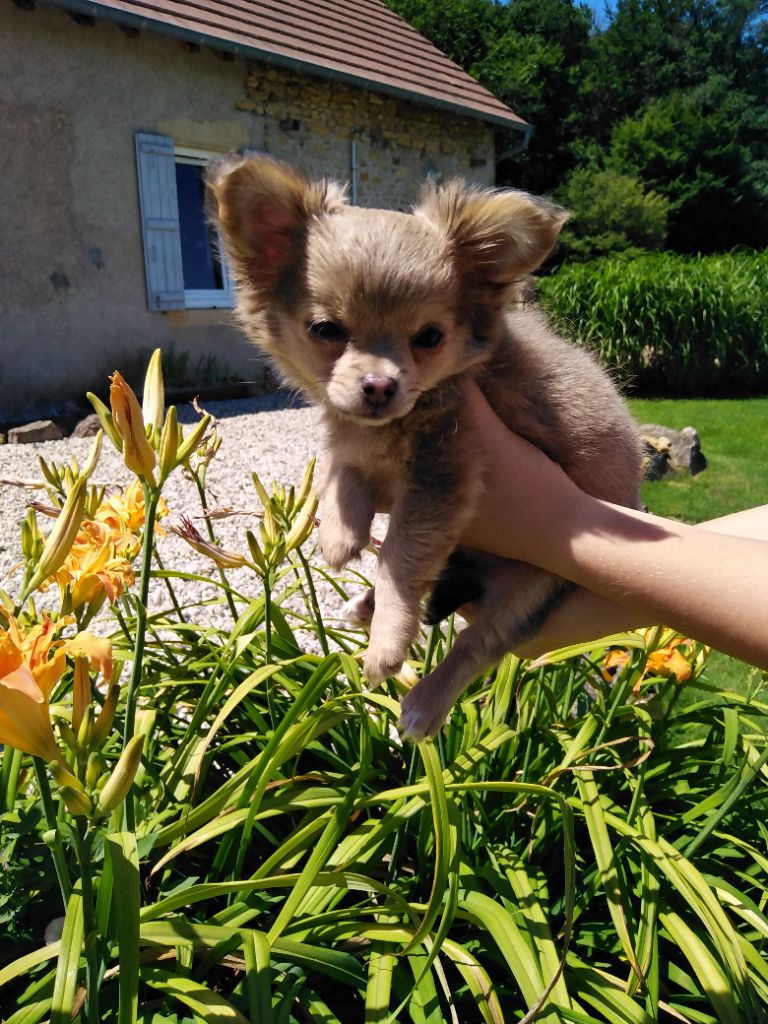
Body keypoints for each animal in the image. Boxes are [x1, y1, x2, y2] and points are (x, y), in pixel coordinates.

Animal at [208, 153, 643, 737]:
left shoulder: (441, 478)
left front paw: (386, 648)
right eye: (326, 329)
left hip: (531, 587)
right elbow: (343, 470)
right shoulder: (354, 438)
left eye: (430, 337)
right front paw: (340, 535)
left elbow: (400, 560)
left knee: (476, 645)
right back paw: (363, 606)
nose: (380, 386)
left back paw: (421, 703)